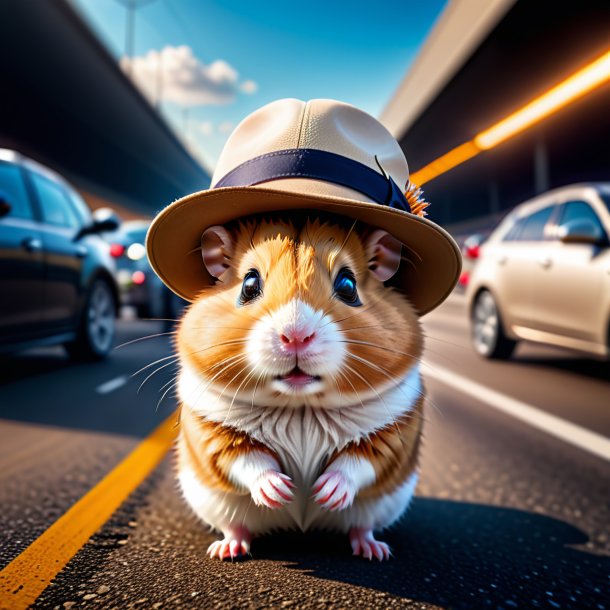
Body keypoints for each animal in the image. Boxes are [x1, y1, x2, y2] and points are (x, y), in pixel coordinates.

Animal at [176, 213, 422, 560]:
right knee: (235, 525)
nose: (295, 335)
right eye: (249, 285)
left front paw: (325, 493)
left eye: (348, 285)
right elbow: (246, 459)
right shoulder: (213, 429)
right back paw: (227, 549)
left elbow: (358, 462)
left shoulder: (392, 432)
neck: (301, 405)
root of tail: (302, 528)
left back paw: (374, 550)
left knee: (361, 525)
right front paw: (280, 491)